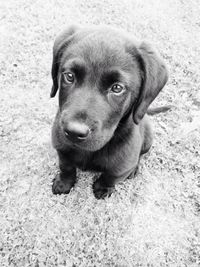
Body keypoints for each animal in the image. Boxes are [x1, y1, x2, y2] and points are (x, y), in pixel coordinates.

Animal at [49, 24, 167, 199]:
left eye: (117, 88)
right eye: (69, 76)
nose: (74, 132)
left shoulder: (122, 164)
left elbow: (111, 176)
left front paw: (103, 188)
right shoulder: (61, 147)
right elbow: (66, 166)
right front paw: (63, 183)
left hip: (148, 139)